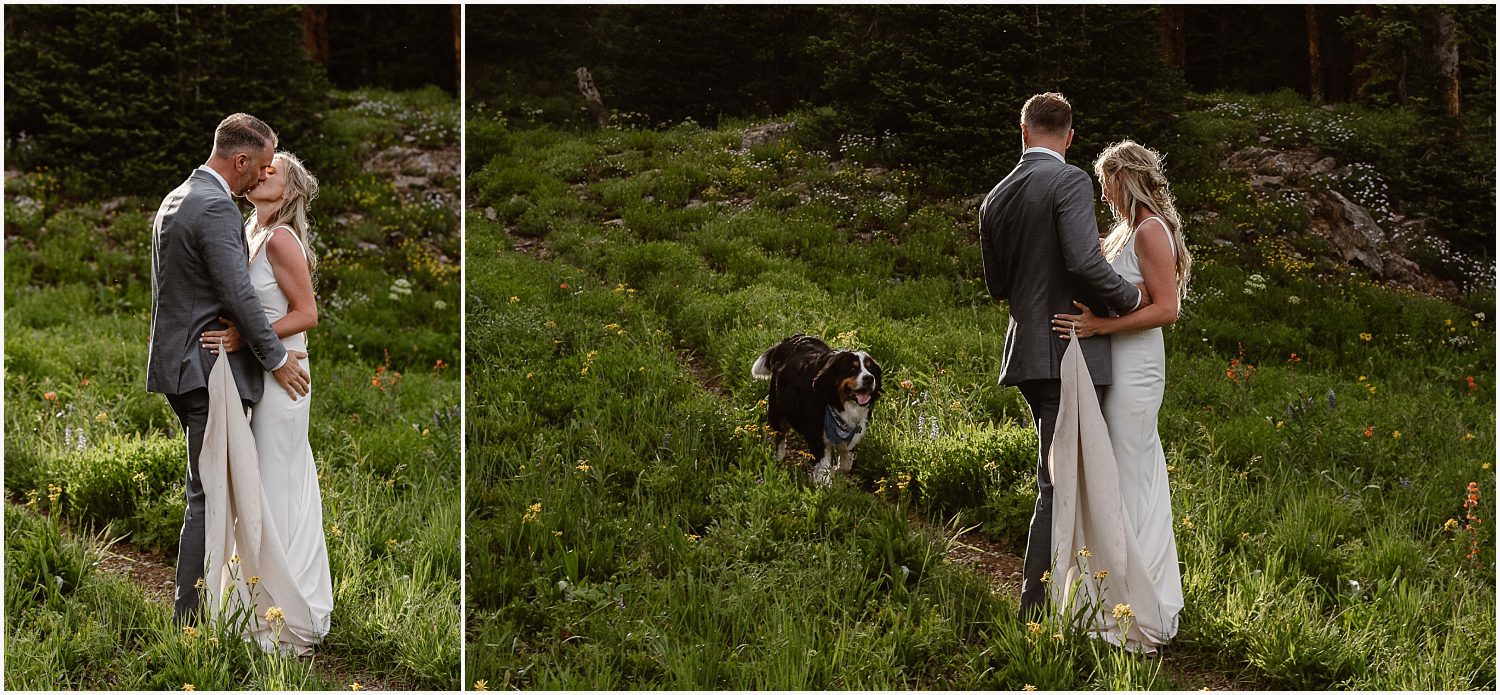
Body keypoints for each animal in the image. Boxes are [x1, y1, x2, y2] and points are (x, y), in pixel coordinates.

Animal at [750, 334, 876, 486]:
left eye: (871, 369)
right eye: (852, 368)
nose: (869, 378)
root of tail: (791, 339)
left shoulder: (854, 433)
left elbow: (846, 464)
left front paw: (835, 470)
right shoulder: (818, 437)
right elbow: (822, 467)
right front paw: (825, 486)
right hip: (777, 410)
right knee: (779, 436)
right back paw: (778, 459)